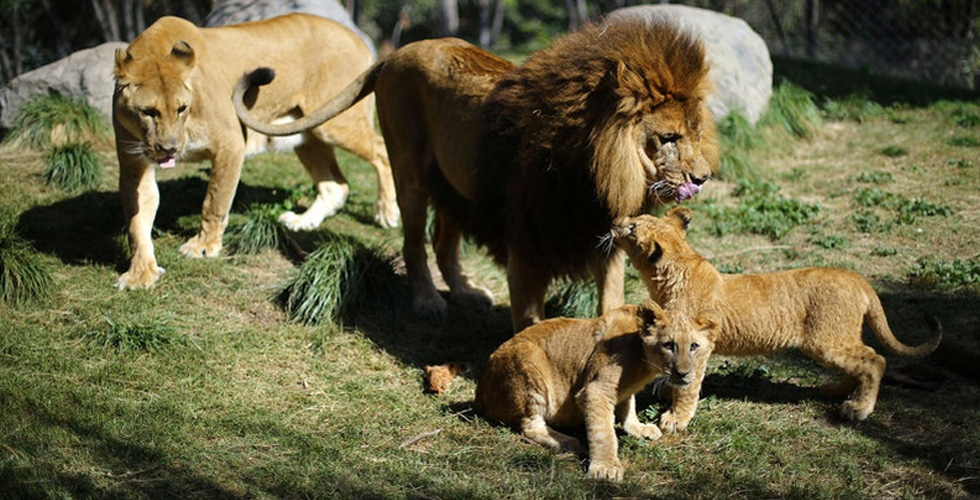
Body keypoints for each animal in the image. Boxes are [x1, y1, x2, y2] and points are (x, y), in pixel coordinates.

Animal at [116, 14, 402, 290]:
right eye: (148, 112)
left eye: (181, 108)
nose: (169, 149)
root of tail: (357, 38)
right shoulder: (134, 166)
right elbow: (137, 222)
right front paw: (139, 275)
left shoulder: (230, 144)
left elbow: (215, 201)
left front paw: (204, 247)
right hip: (308, 135)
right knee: (336, 185)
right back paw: (302, 222)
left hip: (335, 124)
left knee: (381, 151)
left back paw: (387, 213)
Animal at [233, 19, 716, 332]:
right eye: (669, 137)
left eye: (696, 133)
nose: (704, 177)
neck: (596, 171)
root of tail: (397, 53)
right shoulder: (526, 242)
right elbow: (528, 317)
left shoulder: (604, 238)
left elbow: (610, 302)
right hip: (409, 169)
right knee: (414, 244)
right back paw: (428, 302)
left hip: (454, 187)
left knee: (444, 245)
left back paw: (466, 292)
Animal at [476, 300, 720, 480]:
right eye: (669, 345)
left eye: (694, 346)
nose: (683, 373)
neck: (644, 361)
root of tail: (480, 388)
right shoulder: (595, 391)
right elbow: (604, 432)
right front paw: (605, 467)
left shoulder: (623, 390)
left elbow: (628, 407)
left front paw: (638, 428)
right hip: (529, 363)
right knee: (529, 425)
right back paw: (567, 442)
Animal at [612, 207, 940, 426]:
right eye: (635, 218)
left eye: (633, 228)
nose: (614, 222)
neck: (677, 268)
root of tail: (858, 279)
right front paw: (669, 392)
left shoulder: (700, 344)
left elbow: (689, 387)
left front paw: (674, 419)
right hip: (838, 339)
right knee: (859, 362)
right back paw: (834, 391)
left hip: (825, 340)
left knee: (875, 360)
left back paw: (858, 408)